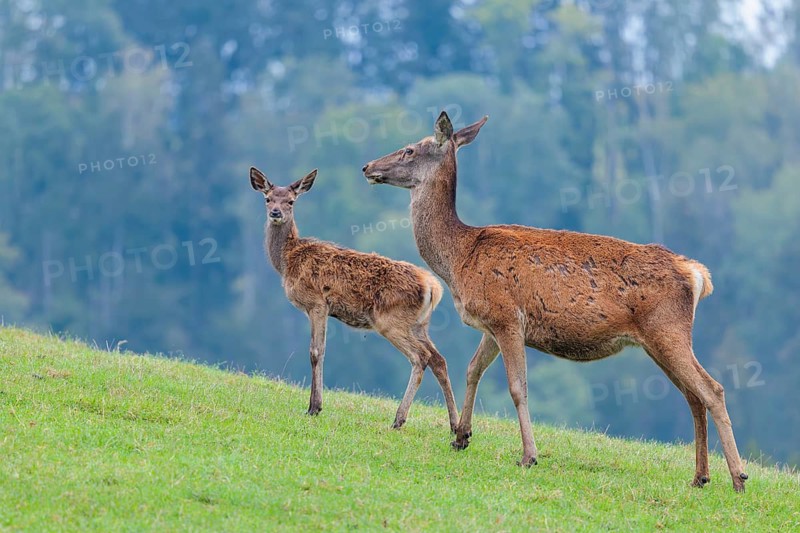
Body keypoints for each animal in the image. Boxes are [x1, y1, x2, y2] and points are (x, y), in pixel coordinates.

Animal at [249, 166, 459, 432]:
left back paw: (399, 419)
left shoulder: (317, 303)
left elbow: (316, 351)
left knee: (420, 357)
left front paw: (314, 407)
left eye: (291, 201)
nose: (276, 212)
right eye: (267, 198)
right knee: (439, 360)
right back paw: (455, 426)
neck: (287, 260)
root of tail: (433, 286)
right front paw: (314, 405)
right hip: (419, 324)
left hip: (391, 320)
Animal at [361, 112, 749, 492]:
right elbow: (472, 370)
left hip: (667, 329)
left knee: (712, 389)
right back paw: (700, 476)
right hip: (657, 340)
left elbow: (518, 387)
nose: (367, 166)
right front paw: (461, 436)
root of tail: (697, 275)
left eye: (410, 149)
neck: (458, 259)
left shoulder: (506, 317)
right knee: (692, 395)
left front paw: (528, 455)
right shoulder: (490, 325)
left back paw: (738, 477)